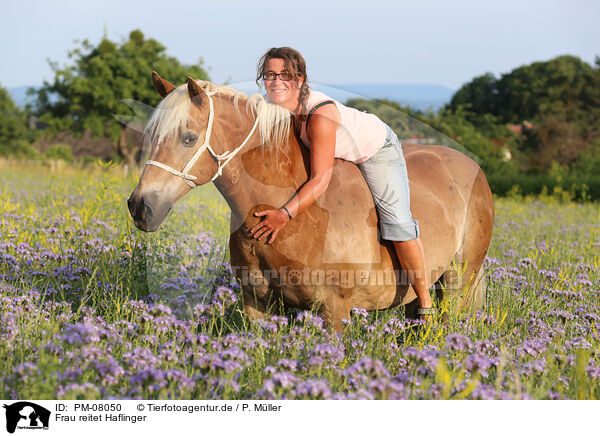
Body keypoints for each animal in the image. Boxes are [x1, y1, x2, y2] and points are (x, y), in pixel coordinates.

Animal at [129, 72, 494, 330]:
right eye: (150, 136)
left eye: (188, 138)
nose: (140, 206)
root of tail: (473, 167)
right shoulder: (258, 304)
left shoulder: (335, 310)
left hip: (458, 282)